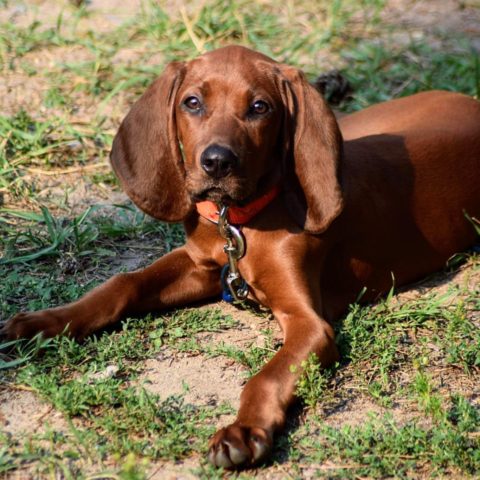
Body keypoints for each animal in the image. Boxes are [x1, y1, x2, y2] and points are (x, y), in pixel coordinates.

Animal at [3, 46, 480, 468]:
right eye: (192, 102)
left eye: (259, 107)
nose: (216, 162)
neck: (238, 222)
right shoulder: (199, 265)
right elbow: (124, 283)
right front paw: (47, 321)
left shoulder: (309, 323)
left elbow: (265, 377)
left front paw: (243, 431)